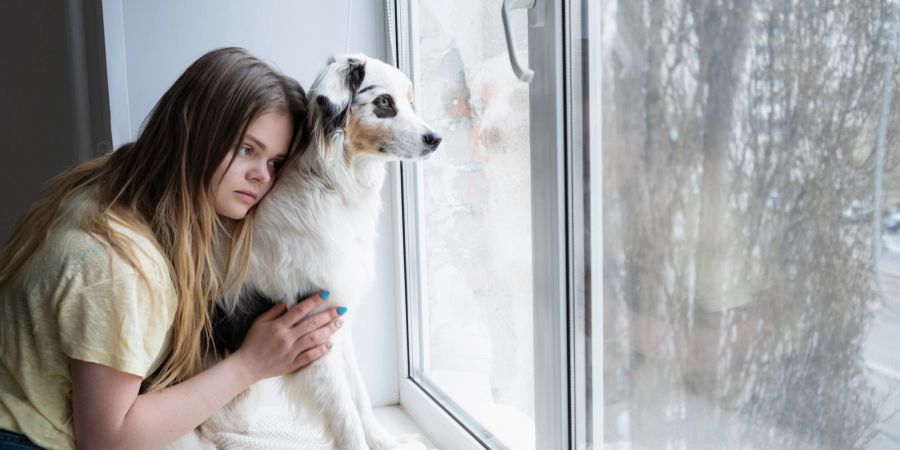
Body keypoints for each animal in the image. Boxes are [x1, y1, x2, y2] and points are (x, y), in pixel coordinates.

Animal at [196, 54, 440, 448]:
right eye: (384, 102)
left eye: (409, 101)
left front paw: (384, 440)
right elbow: (344, 414)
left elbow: (359, 395)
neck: (330, 186)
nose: (436, 139)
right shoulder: (307, 326)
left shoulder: (337, 317)